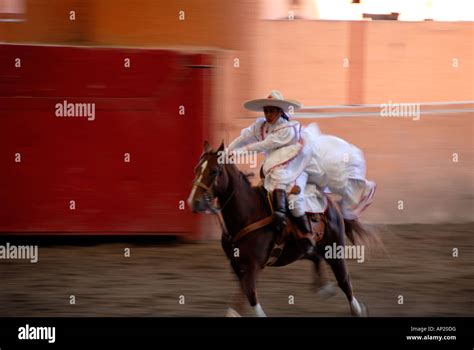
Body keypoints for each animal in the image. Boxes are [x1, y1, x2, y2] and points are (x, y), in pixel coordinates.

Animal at [189, 140, 378, 318]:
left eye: (214, 171)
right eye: (197, 169)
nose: (194, 202)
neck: (247, 215)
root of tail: (333, 203)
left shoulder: (253, 266)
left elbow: (250, 295)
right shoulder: (237, 266)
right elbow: (242, 297)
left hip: (334, 248)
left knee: (344, 279)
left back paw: (357, 309)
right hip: (304, 249)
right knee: (316, 257)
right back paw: (325, 288)